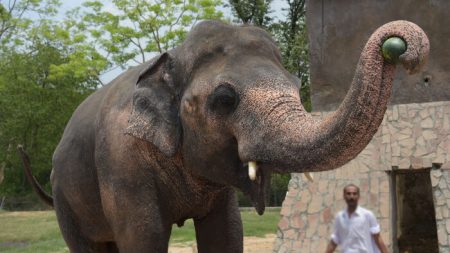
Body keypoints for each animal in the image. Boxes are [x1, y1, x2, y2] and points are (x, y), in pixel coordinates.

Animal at [20, 20, 428, 253]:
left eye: (298, 86)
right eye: (224, 99)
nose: (398, 48)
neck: (169, 59)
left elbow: (227, 234)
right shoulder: (122, 164)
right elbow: (144, 238)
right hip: (65, 196)